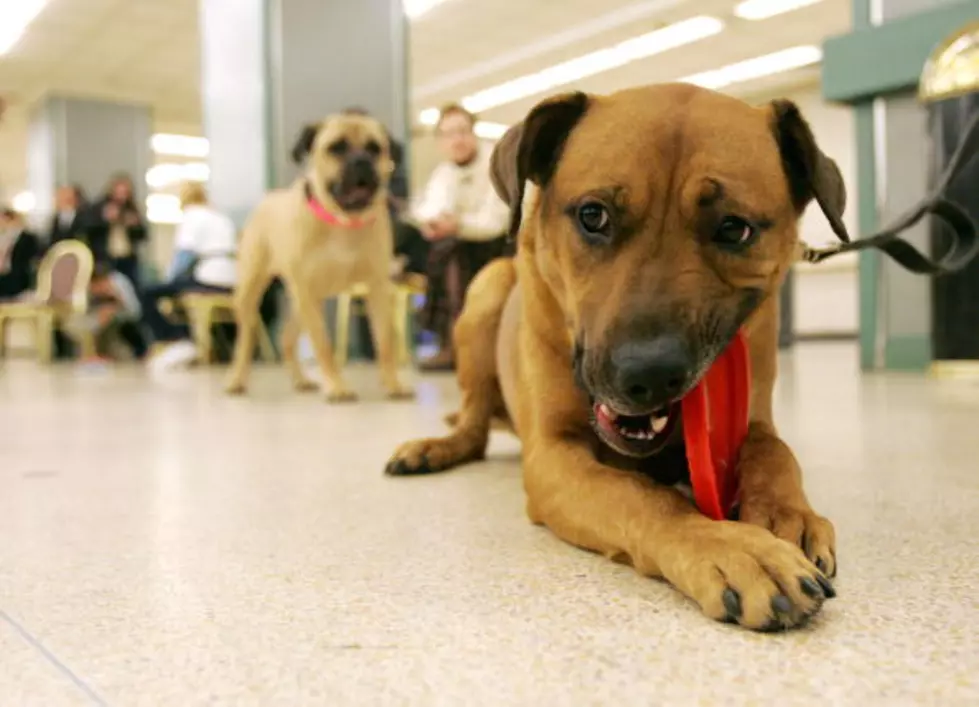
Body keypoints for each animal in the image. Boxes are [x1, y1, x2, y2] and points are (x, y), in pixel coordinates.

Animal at [227, 113, 414, 402]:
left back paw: (301, 379)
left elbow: (384, 343)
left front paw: (393, 383)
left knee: (287, 338)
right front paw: (337, 385)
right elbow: (323, 345)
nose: (361, 161)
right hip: (253, 291)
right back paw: (237, 378)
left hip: (304, 301)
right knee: (245, 339)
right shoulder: (306, 290)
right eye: (336, 147)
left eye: (374, 148)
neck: (342, 222)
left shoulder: (377, 289)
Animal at [390, 85, 844, 632]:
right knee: (473, 430)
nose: (646, 375)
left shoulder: (754, 416)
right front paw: (727, 545)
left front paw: (786, 514)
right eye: (593, 215)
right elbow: (641, 495)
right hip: (484, 292)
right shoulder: (554, 457)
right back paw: (435, 447)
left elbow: (774, 452)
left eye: (735, 228)